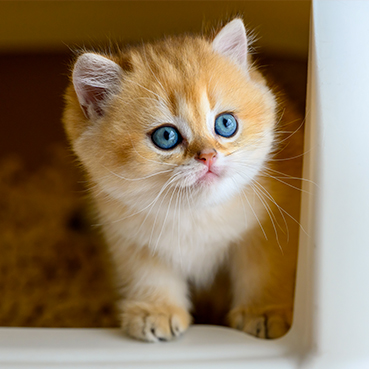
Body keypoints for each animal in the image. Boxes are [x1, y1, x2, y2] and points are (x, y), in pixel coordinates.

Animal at [62, 18, 302, 340]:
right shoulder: (130, 241)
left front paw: (264, 311)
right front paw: (156, 311)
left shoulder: (269, 232)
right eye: (166, 136)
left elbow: (265, 272)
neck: (194, 215)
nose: (208, 156)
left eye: (226, 123)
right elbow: (149, 276)